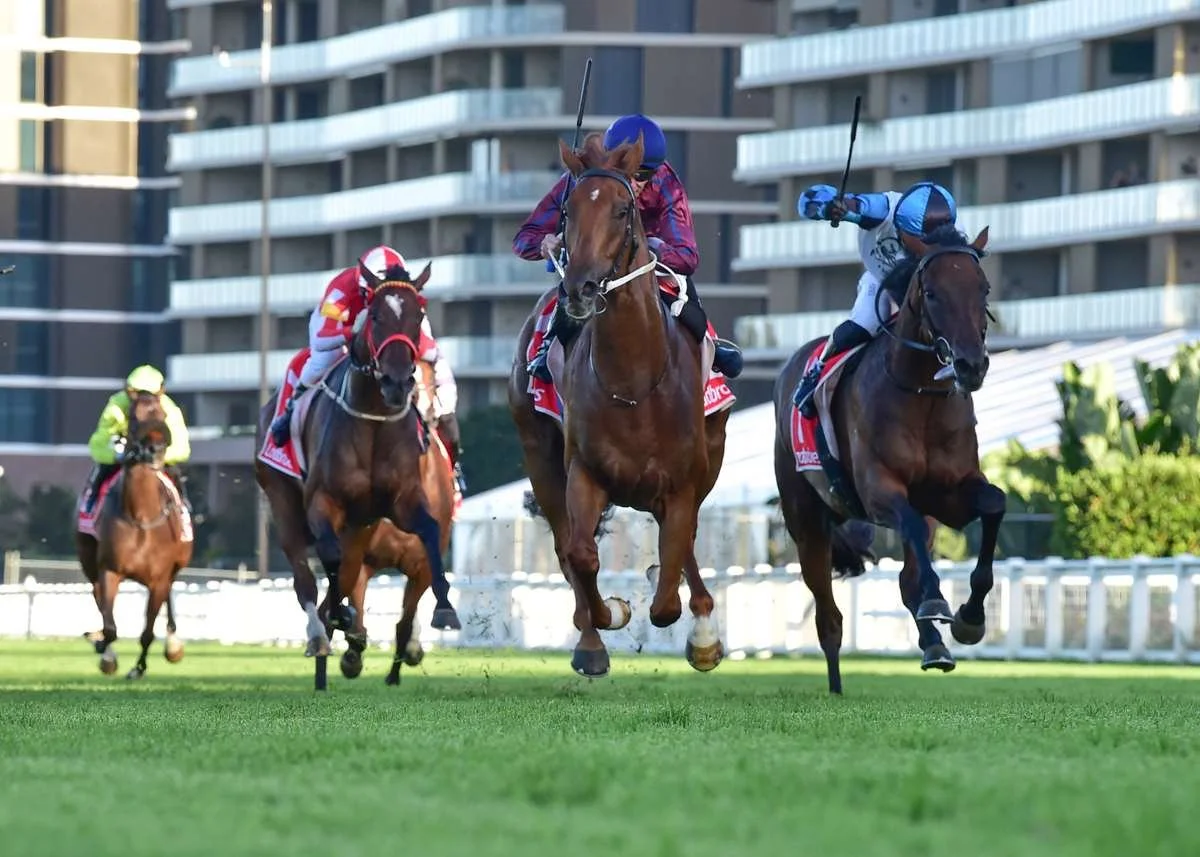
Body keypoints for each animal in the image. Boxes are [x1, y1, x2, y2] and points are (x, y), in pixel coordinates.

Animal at [76, 393, 193, 679]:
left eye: (163, 413)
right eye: (134, 416)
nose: (155, 450)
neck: (141, 518)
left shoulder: (159, 578)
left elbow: (148, 632)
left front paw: (139, 668)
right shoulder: (110, 570)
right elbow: (110, 627)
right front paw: (103, 648)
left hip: (173, 569)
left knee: (168, 599)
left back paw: (173, 645)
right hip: (89, 560)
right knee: (97, 596)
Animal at [254, 264, 460, 685]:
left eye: (418, 315)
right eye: (377, 316)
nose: (398, 382)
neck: (375, 422)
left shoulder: (403, 505)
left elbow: (429, 538)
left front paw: (445, 609)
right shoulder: (324, 503)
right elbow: (332, 562)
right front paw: (339, 623)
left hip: (361, 525)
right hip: (283, 499)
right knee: (306, 575)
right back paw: (321, 633)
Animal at [507, 132, 732, 678]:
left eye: (622, 208)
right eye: (567, 209)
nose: (580, 287)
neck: (634, 383)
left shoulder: (684, 478)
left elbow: (669, 586)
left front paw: (699, 632)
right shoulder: (584, 471)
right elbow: (582, 554)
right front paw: (606, 616)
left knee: (682, 543)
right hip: (539, 453)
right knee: (567, 545)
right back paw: (590, 637)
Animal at [773, 223, 1006, 694]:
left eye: (984, 289)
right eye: (932, 292)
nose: (971, 365)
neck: (922, 396)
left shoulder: (949, 495)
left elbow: (994, 504)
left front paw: (970, 617)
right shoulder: (880, 490)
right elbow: (910, 528)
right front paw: (939, 601)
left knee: (904, 576)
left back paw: (934, 645)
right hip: (806, 520)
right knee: (827, 613)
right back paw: (836, 686)